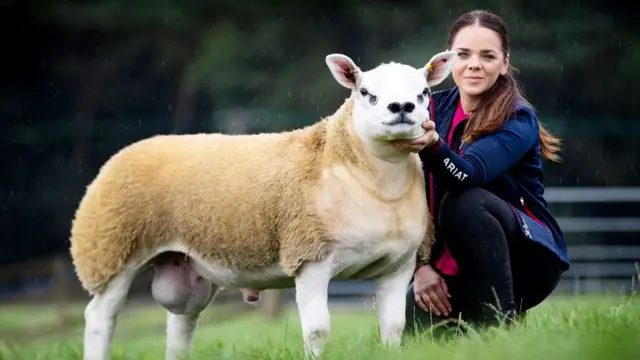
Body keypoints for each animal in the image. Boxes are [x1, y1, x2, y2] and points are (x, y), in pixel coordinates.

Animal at [69, 50, 456, 360]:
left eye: (423, 92)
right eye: (366, 93)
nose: (402, 108)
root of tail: (124, 152)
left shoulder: (399, 265)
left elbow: (393, 327)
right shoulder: (310, 257)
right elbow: (318, 329)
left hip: (184, 265)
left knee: (181, 324)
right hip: (111, 250)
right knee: (100, 317)